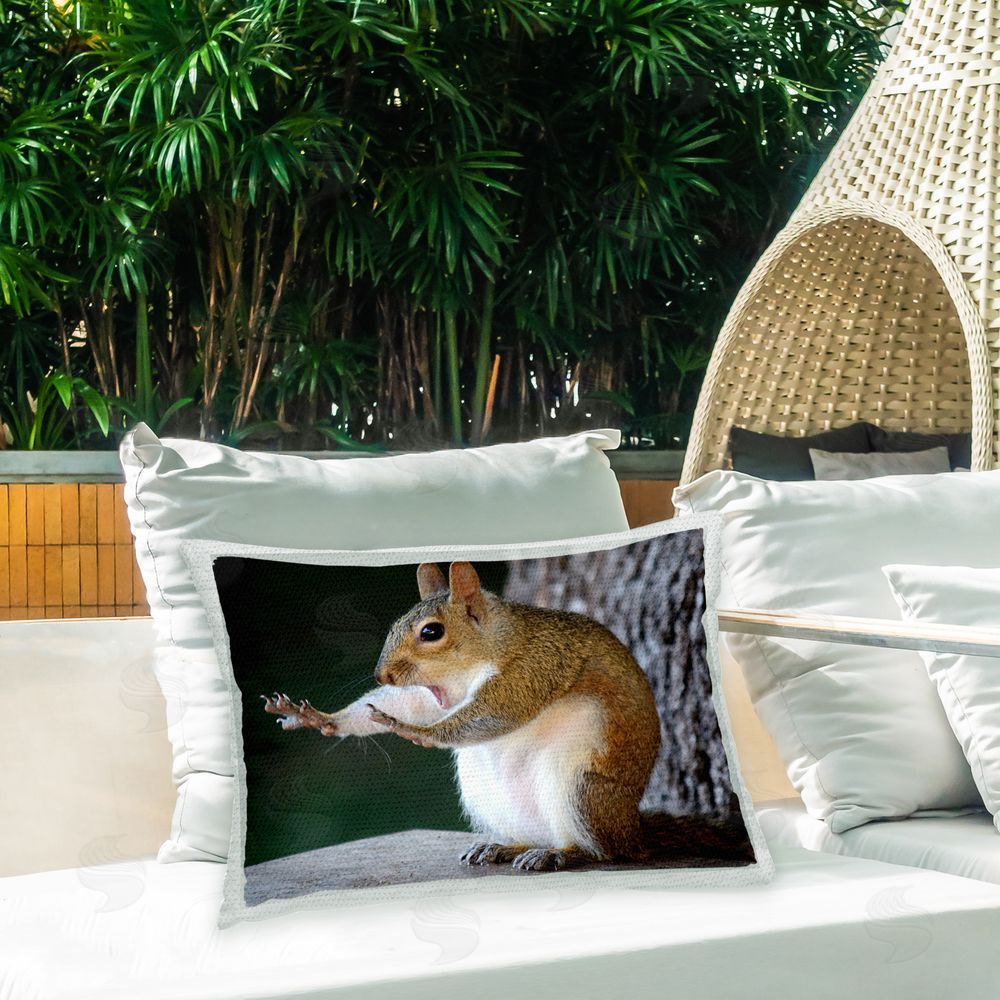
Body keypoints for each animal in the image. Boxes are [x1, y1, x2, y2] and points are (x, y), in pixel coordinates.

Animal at [264, 561, 752, 872]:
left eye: (431, 632)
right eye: (395, 625)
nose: (382, 673)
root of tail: (632, 830)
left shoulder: (535, 668)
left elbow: (493, 713)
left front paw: (416, 731)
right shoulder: (435, 694)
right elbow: (407, 702)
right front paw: (321, 719)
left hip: (581, 789)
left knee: (605, 852)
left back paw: (562, 854)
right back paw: (503, 847)